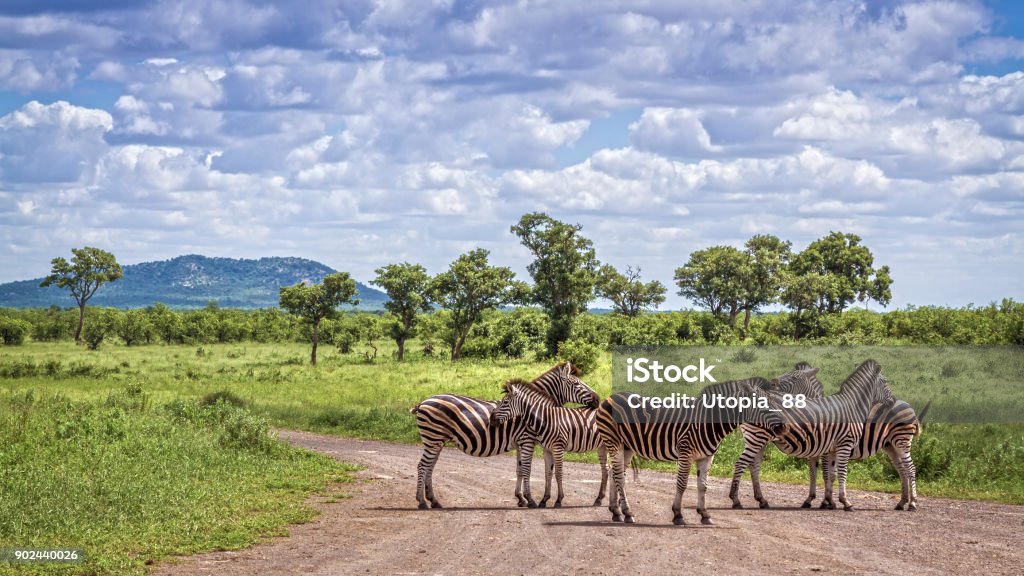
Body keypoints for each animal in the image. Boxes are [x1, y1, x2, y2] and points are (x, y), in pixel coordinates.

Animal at [409, 360, 598, 508]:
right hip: (433, 439)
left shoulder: (521, 442)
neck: (534, 410)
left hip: (436, 441)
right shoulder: (527, 440)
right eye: (577, 384)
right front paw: (529, 499)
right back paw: (422, 502)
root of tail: (423, 402)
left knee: (430, 467)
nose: (597, 399)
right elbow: (527, 469)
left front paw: (520, 498)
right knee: (423, 466)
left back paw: (433, 501)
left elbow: (519, 469)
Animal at [485, 377, 622, 506]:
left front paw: (559, 500)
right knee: (606, 469)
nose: (491, 420)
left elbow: (558, 473)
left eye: (505, 402)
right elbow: (548, 474)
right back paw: (599, 499)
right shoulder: (547, 449)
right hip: (602, 446)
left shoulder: (558, 448)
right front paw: (544, 500)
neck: (547, 419)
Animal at [593, 377, 782, 524]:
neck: (708, 421)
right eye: (763, 405)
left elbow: (703, 486)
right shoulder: (685, 453)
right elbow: (682, 484)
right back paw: (627, 513)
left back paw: (616, 511)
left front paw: (704, 514)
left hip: (627, 447)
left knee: (615, 474)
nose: (783, 427)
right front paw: (678, 514)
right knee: (619, 476)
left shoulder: (707, 457)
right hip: (614, 442)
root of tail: (609, 398)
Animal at [729, 362, 823, 506]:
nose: (773, 382)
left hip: (757, 439)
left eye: (794, 378)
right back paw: (736, 499)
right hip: (757, 437)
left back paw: (761, 499)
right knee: (742, 463)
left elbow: (814, 469)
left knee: (753, 465)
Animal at [765, 358, 892, 510]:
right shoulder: (819, 450)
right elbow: (817, 473)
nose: (771, 383)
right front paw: (820, 500)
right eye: (885, 381)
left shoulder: (825, 450)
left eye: (794, 377)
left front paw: (826, 501)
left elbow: (826, 474)